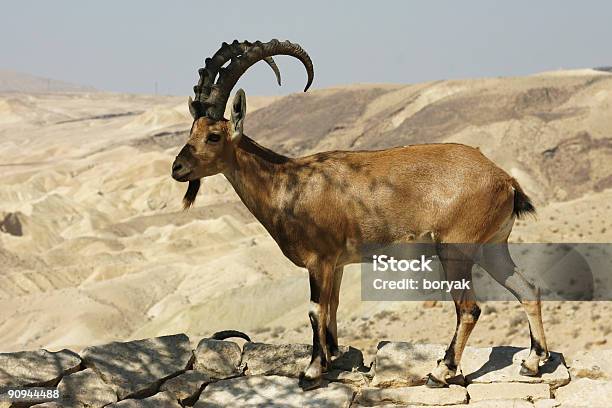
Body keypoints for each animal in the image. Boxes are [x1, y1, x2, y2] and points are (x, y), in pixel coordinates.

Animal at [171, 39, 548, 390]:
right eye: (191, 131)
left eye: (214, 135)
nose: (178, 168)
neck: (287, 183)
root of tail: (505, 179)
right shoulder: (336, 263)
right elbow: (332, 307)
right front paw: (332, 359)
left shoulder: (319, 260)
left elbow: (315, 309)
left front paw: (311, 372)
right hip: (494, 247)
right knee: (528, 288)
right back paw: (533, 362)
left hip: (455, 250)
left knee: (469, 308)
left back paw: (441, 372)